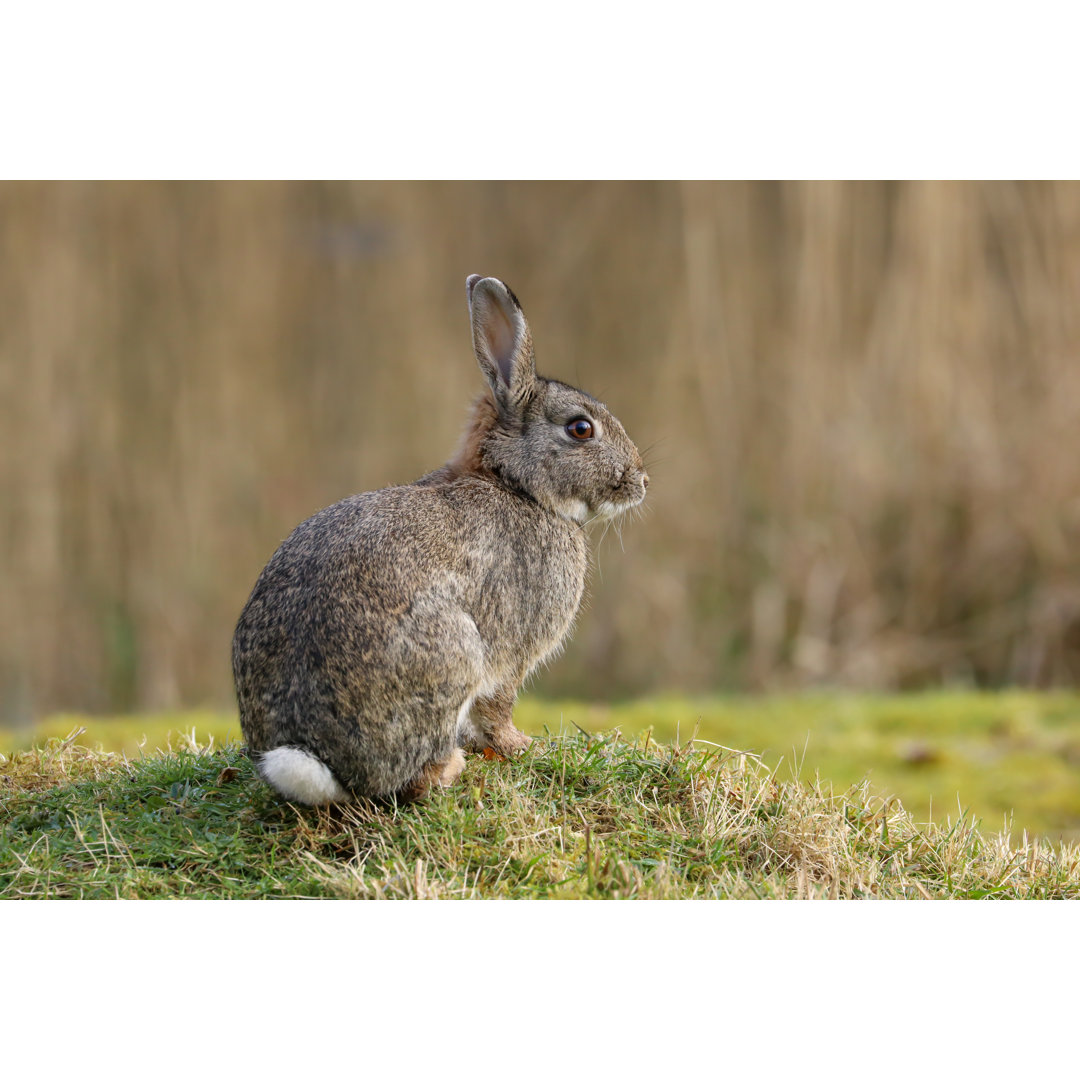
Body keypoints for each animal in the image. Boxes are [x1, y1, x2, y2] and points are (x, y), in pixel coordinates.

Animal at [231, 274, 643, 807]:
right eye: (580, 429)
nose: (641, 481)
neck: (516, 485)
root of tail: (320, 760)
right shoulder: (512, 651)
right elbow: (498, 707)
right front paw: (521, 746)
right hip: (454, 653)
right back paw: (450, 768)